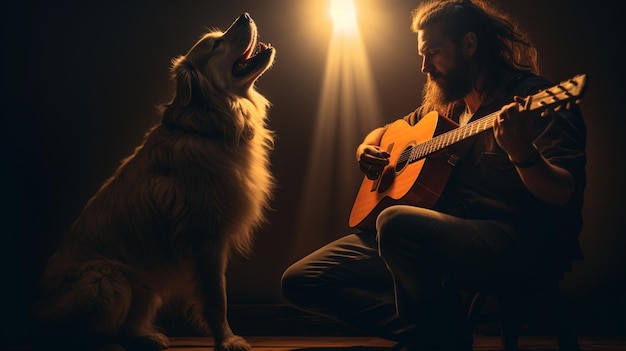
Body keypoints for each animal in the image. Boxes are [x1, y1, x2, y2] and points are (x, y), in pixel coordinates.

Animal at [31, 12, 274, 350]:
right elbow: (217, 298)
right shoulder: (206, 238)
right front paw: (227, 340)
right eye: (215, 45)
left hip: (144, 286)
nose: (245, 15)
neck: (208, 127)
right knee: (76, 332)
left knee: (127, 324)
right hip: (107, 280)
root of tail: (38, 307)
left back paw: (146, 336)